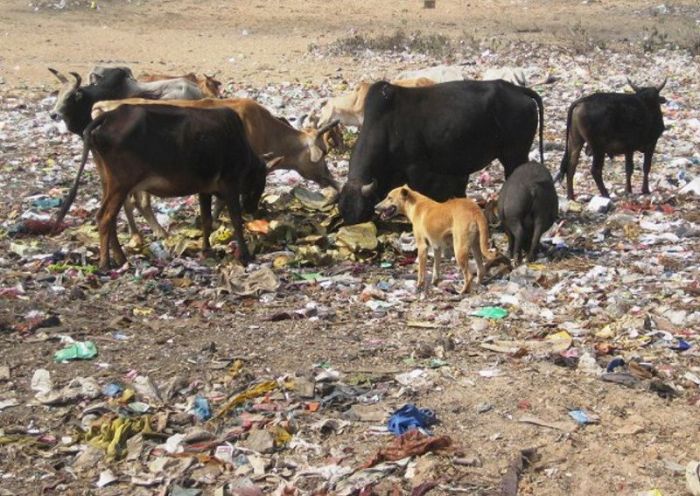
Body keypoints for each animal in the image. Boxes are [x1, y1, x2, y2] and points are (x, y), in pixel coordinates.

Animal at [52, 104, 268, 272]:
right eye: (260, 183)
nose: (253, 208)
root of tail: (109, 115)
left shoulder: (204, 189)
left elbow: (206, 220)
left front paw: (206, 250)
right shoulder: (230, 184)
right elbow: (236, 221)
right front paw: (245, 255)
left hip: (108, 182)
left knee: (109, 218)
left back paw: (121, 259)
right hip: (120, 184)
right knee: (105, 217)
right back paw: (106, 263)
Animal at [336, 80, 544, 225]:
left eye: (363, 213)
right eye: (343, 214)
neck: (385, 126)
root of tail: (516, 90)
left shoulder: (416, 168)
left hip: (514, 154)